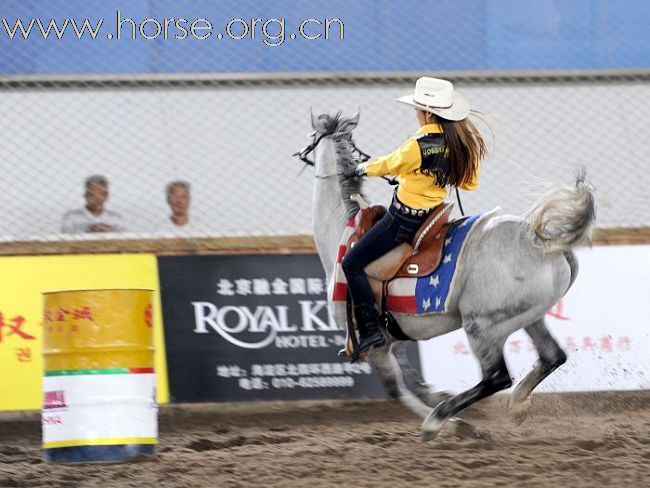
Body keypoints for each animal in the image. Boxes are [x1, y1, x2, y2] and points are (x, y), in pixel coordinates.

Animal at [296, 110, 596, 438]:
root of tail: (542, 242)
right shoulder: (396, 337)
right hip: (529, 317)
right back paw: (516, 404)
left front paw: (452, 424)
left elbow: (396, 389)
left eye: (312, 135)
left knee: (497, 378)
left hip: (483, 327)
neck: (341, 232)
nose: (301, 151)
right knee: (552, 356)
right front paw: (440, 398)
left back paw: (438, 419)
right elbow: (416, 382)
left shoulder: (377, 345)